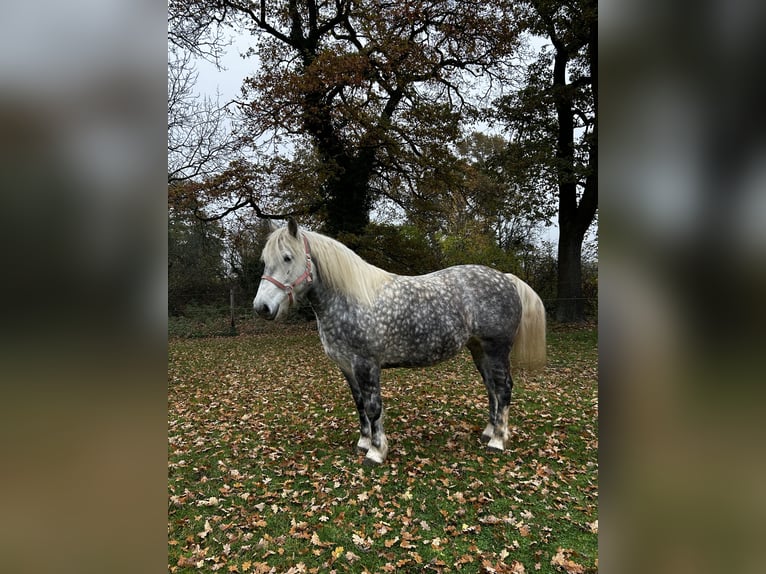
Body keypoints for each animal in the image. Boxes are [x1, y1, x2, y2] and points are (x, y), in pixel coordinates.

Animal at [255, 220, 548, 468]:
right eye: (264, 261)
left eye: (287, 257)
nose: (262, 308)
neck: (351, 300)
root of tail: (507, 278)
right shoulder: (347, 367)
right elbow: (359, 404)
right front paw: (363, 442)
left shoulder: (366, 365)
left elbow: (373, 407)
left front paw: (376, 451)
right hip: (479, 350)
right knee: (492, 388)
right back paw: (489, 431)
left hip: (497, 349)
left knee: (504, 388)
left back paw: (498, 440)